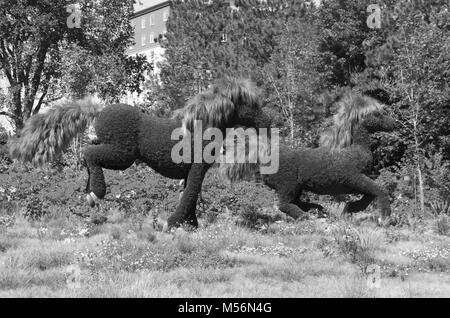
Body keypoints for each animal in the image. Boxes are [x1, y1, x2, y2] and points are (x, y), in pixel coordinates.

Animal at [8, 76, 268, 229]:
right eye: (252, 105)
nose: (267, 122)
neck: (201, 127)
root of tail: (99, 110)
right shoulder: (196, 169)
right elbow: (189, 195)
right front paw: (171, 224)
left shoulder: (192, 172)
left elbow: (191, 196)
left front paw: (190, 225)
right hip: (122, 154)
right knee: (89, 153)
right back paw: (96, 193)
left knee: (88, 156)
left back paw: (88, 193)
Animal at [220, 89, 396, 224]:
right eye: (378, 114)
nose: (394, 123)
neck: (358, 149)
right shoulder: (355, 179)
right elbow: (380, 190)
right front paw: (385, 218)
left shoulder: (356, 183)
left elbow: (370, 195)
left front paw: (350, 208)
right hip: (288, 186)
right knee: (284, 205)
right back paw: (307, 216)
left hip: (296, 187)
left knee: (295, 203)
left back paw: (317, 209)